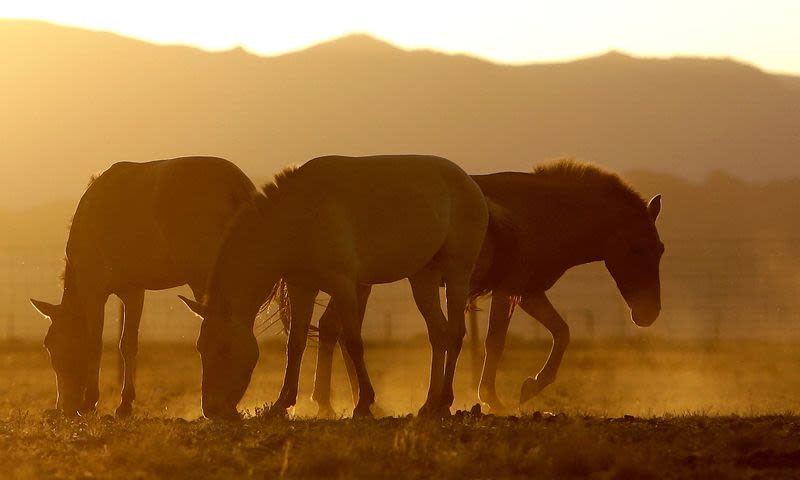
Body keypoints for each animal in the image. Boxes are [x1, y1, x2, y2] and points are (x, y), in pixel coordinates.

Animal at [30, 157, 256, 416]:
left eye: (50, 345)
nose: (63, 407)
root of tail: (236, 184)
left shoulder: (93, 290)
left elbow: (95, 343)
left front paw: (89, 402)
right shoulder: (133, 292)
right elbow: (128, 344)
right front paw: (125, 403)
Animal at [179, 156, 488, 418]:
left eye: (225, 348)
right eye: (200, 347)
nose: (211, 409)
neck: (298, 216)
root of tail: (468, 182)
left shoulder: (344, 286)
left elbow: (353, 342)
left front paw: (363, 404)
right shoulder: (302, 287)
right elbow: (296, 344)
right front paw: (281, 404)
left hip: (457, 273)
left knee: (455, 334)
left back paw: (445, 401)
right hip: (422, 277)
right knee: (438, 334)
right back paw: (429, 404)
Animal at [306, 159, 664, 414]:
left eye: (660, 249)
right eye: (636, 248)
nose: (648, 315)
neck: (539, 213)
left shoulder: (529, 291)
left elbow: (562, 333)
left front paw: (531, 386)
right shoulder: (509, 290)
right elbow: (496, 341)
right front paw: (493, 397)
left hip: (358, 284)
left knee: (333, 330)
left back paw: (343, 403)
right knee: (337, 331)